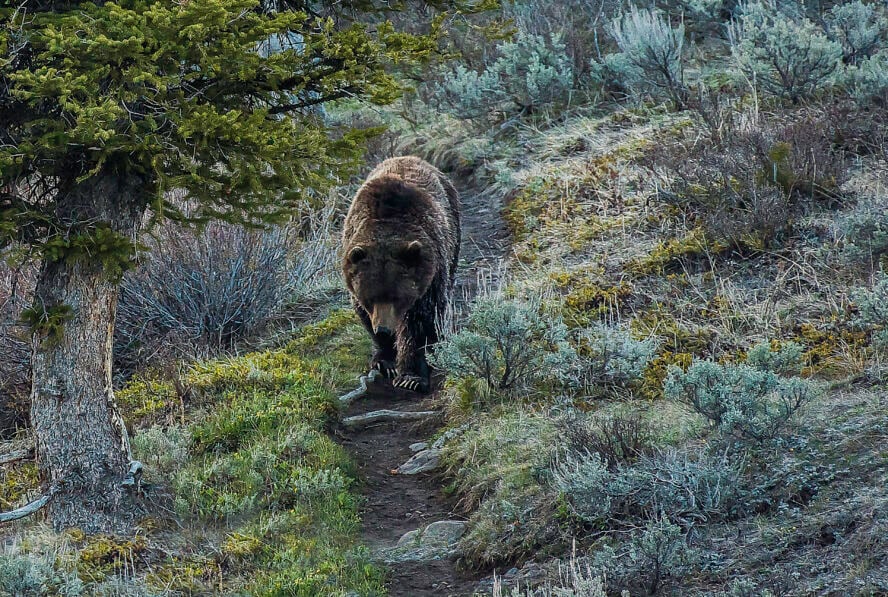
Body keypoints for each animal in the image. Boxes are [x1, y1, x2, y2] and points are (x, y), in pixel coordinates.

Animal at [344, 156, 462, 394]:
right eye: (370, 298)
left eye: (397, 297)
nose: (383, 329)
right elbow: (363, 315)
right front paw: (385, 360)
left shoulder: (428, 276)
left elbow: (420, 321)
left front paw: (411, 377)